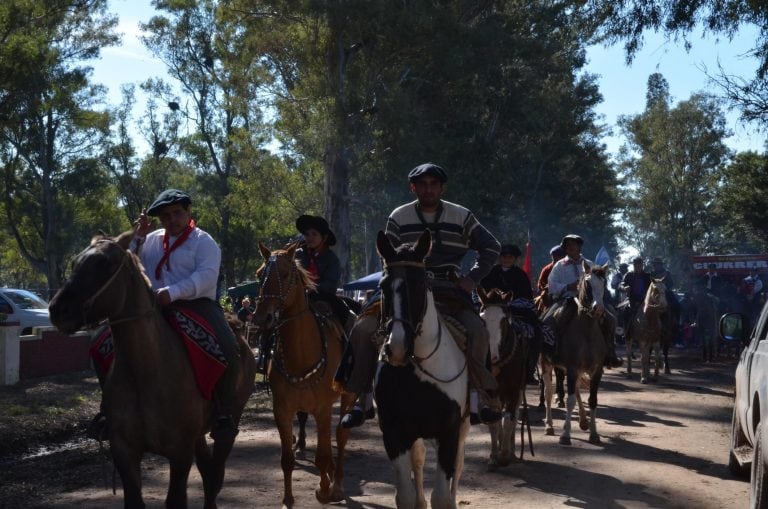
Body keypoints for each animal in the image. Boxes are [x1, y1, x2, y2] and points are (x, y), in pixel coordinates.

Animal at [49, 231, 256, 508]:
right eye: (74, 263)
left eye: (104, 263)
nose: (58, 310)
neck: (146, 373)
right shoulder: (124, 451)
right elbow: (134, 500)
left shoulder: (180, 452)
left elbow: (177, 499)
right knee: (207, 468)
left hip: (229, 422)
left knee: (215, 472)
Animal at [255, 240, 356, 506]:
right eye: (259, 274)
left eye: (284, 274)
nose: (261, 316)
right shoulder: (282, 410)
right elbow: (287, 460)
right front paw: (288, 500)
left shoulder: (322, 409)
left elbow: (323, 455)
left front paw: (324, 490)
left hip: (348, 396)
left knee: (341, 436)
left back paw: (337, 483)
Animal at [372, 229, 468, 508]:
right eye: (383, 286)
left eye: (418, 284)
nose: (397, 347)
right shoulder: (394, 433)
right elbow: (404, 495)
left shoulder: (449, 431)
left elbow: (442, 496)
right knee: (419, 458)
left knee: (458, 466)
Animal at [476, 288, 524, 466]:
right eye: (482, 319)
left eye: (504, 321)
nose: (492, 357)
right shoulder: (491, 392)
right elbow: (495, 422)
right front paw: (494, 455)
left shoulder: (514, 391)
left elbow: (509, 419)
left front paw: (505, 455)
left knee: (514, 417)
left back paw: (512, 450)